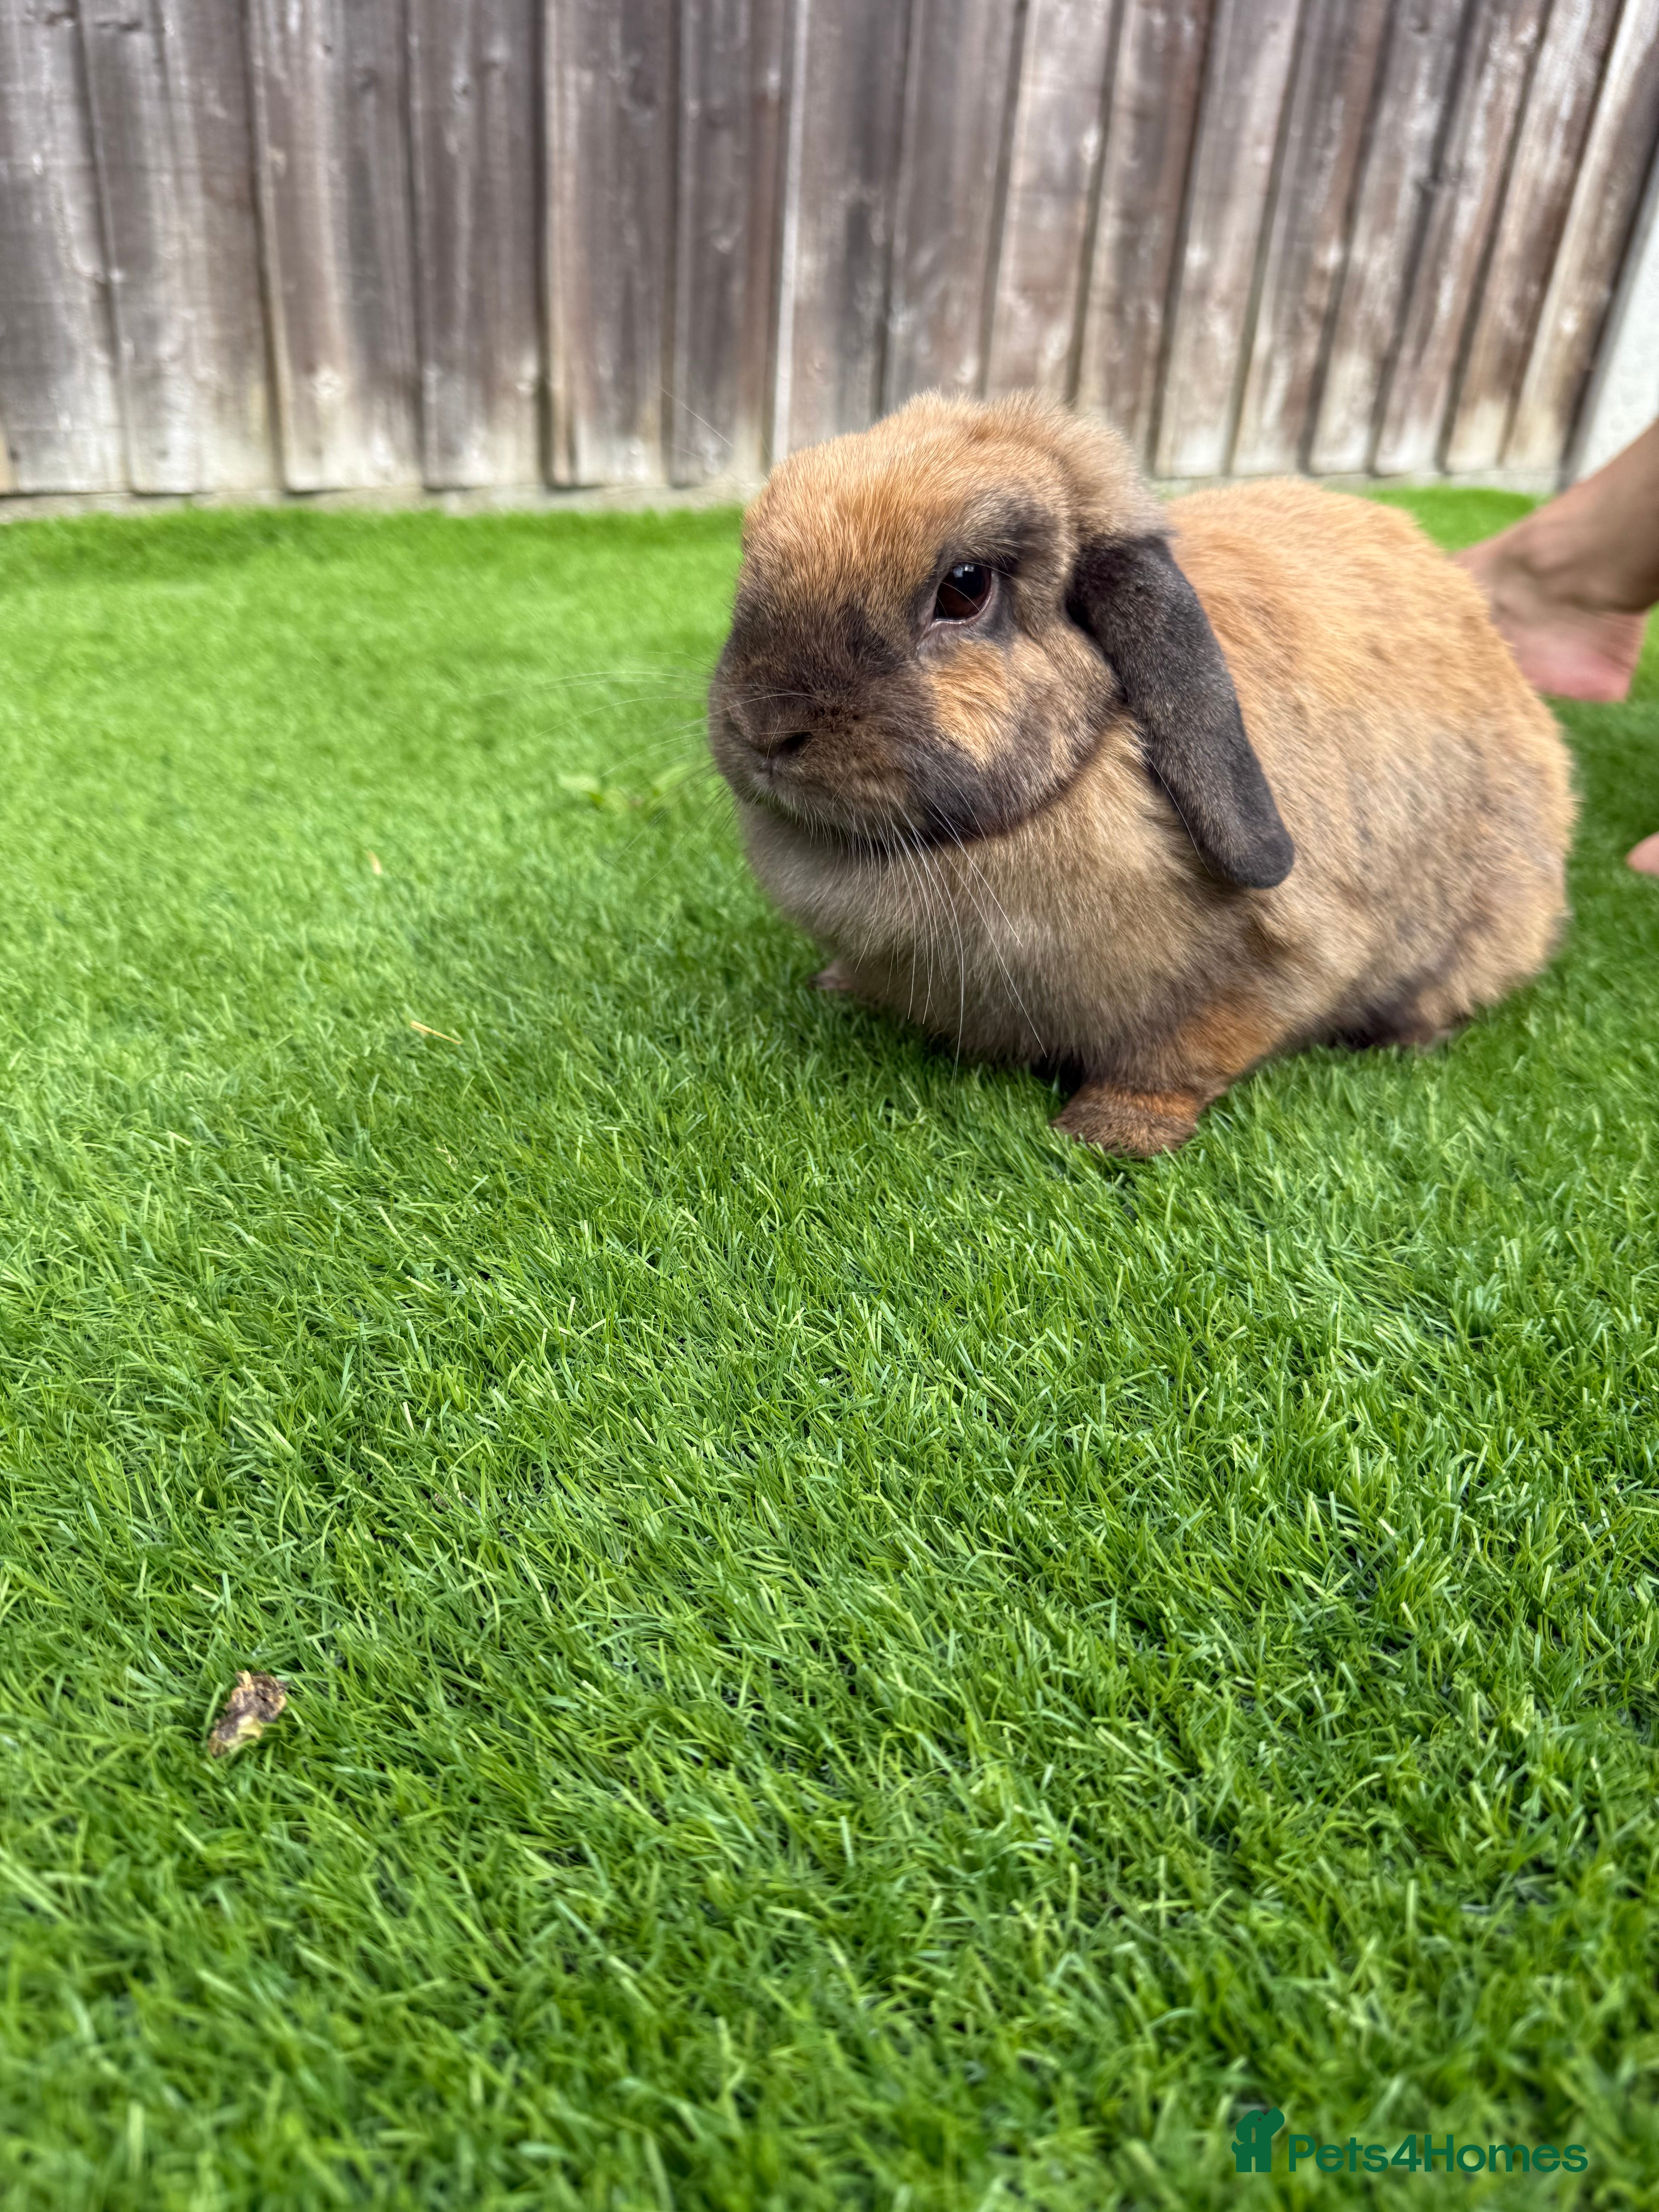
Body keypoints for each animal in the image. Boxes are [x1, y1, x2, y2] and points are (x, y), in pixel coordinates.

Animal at [707, 392, 1575, 1156]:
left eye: (964, 587)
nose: (764, 728)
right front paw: (837, 985)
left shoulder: (1284, 965)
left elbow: (1177, 1055)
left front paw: (1108, 1136)